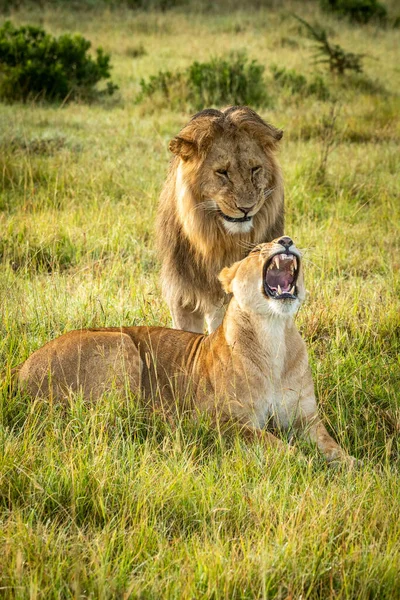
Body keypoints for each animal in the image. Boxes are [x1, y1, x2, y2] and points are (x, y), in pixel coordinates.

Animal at [14, 237, 354, 466]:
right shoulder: (222, 422)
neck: (274, 334)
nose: (286, 241)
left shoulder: (306, 420)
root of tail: (20, 373)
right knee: (114, 421)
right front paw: (305, 464)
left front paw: (353, 467)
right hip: (120, 343)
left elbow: (332, 444)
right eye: (256, 250)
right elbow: (271, 442)